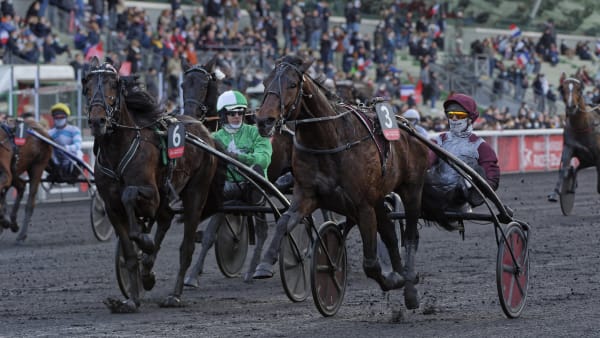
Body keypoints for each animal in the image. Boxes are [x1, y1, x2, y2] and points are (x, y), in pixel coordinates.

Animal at [82, 56, 225, 312]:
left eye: (113, 85)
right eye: (87, 87)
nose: (98, 120)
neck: (119, 149)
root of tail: (203, 130)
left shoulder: (152, 195)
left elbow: (130, 196)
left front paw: (145, 242)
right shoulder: (112, 208)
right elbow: (129, 252)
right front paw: (131, 299)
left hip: (196, 193)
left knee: (186, 247)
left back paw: (174, 295)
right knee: (165, 221)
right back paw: (147, 272)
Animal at [251, 55, 428, 308]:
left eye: (292, 84)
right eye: (265, 82)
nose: (264, 120)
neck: (329, 139)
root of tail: (409, 128)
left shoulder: (362, 205)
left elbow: (370, 263)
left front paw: (393, 280)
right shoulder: (307, 195)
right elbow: (285, 221)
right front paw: (265, 264)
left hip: (412, 189)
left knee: (411, 235)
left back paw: (410, 287)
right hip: (378, 199)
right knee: (390, 235)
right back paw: (401, 273)